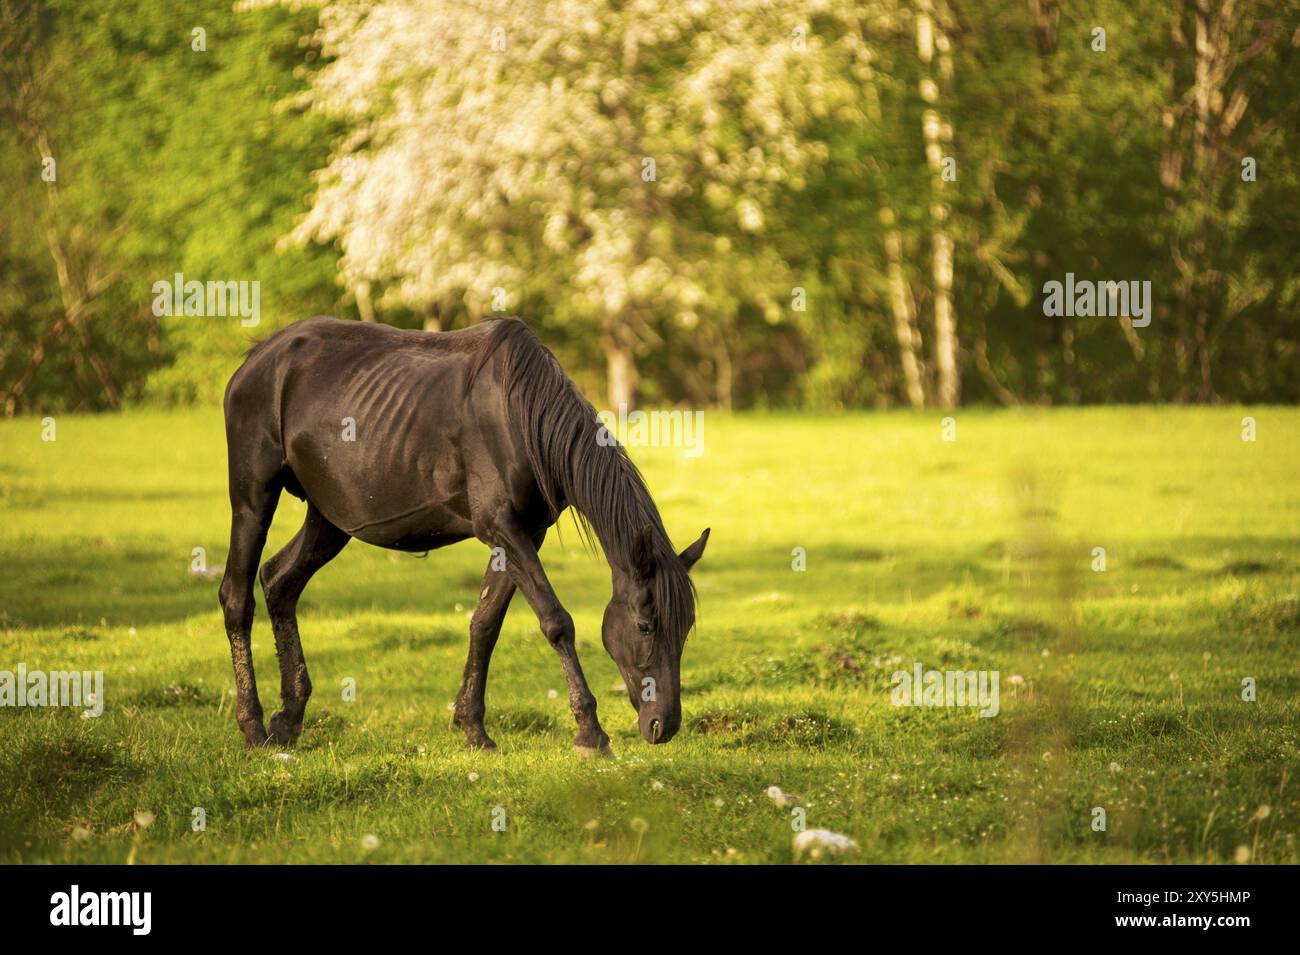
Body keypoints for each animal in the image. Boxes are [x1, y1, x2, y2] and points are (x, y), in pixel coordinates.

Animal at [223, 317, 712, 758]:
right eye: (646, 626)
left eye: (685, 627)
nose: (663, 725)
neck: (520, 417)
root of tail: (256, 359)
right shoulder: (502, 528)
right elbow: (556, 622)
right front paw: (590, 732)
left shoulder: (522, 536)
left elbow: (485, 624)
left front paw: (474, 729)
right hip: (253, 501)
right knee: (237, 597)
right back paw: (252, 726)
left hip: (328, 521)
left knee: (279, 583)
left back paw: (288, 720)